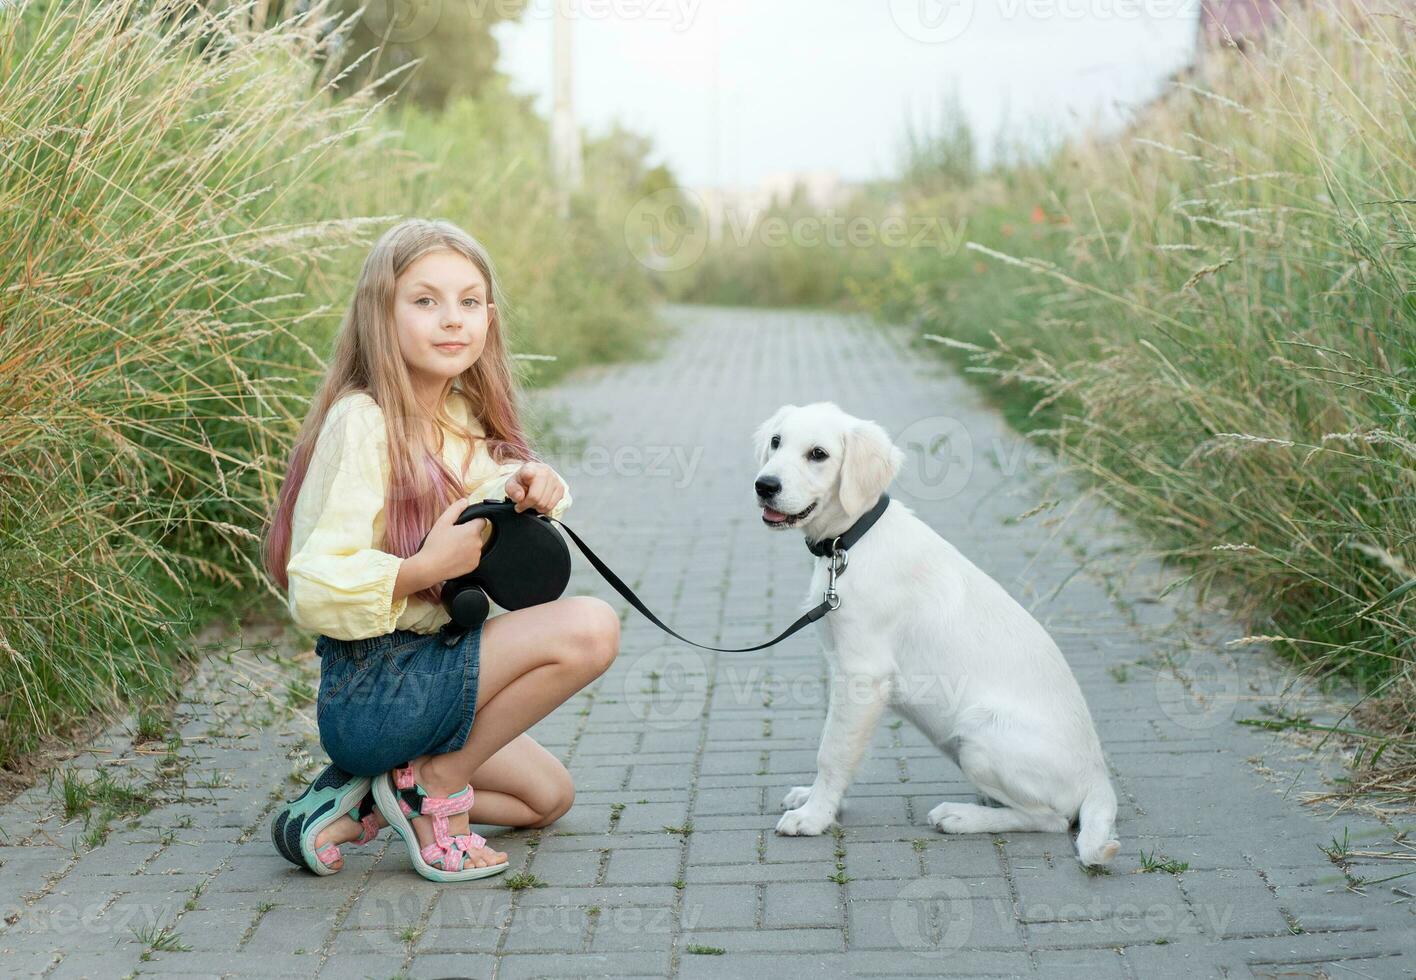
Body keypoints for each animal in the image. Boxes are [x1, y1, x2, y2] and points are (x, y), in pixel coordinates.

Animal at [747, 399, 1121, 866]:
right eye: (776, 442)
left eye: (818, 454)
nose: (764, 485)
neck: (851, 542)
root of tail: (1097, 775)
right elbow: (846, 750)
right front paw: (818, 801)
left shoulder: (863, 675)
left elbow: (832, 751)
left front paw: (814, 817)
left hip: (980, 736)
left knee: (1051, 819)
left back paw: (962, 817)